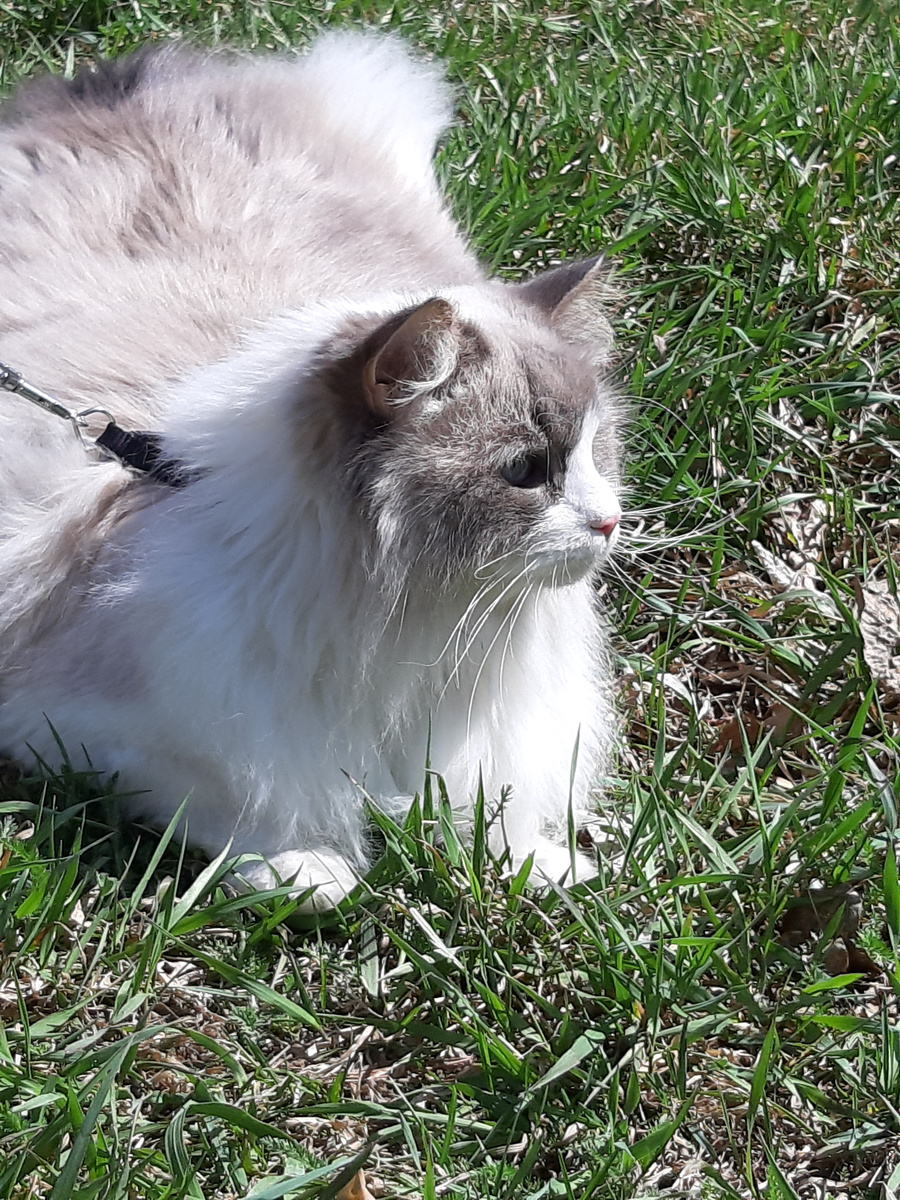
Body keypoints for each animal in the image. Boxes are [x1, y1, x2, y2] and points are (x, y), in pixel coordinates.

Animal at [0, 32, 624, 902]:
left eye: (596, 451)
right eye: (527, 471)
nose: (610, 522)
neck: (403, 624)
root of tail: (115, 85)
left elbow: (489, 804)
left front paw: (536, 864)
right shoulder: (74, 725)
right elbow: (234, 800)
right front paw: (305, 871)